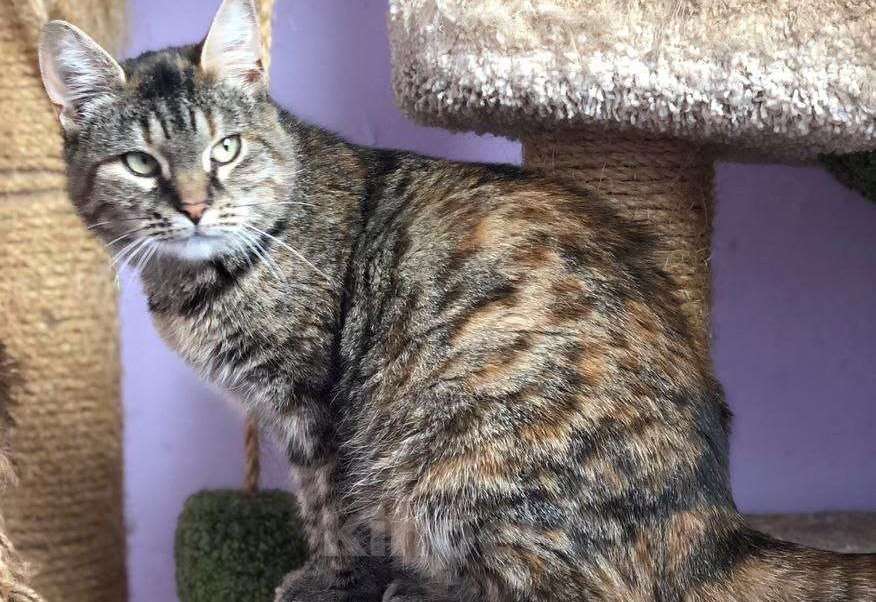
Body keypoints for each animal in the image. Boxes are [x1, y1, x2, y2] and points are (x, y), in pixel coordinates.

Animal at [38, 0, 875, 600]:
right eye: (141, 164)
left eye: (225, 149)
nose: (192, 206)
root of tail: (714, 529)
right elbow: (316, 504)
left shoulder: (315, 405)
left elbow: (333, 511)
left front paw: (331, 582)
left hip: (453, 461)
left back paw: (419, 589)